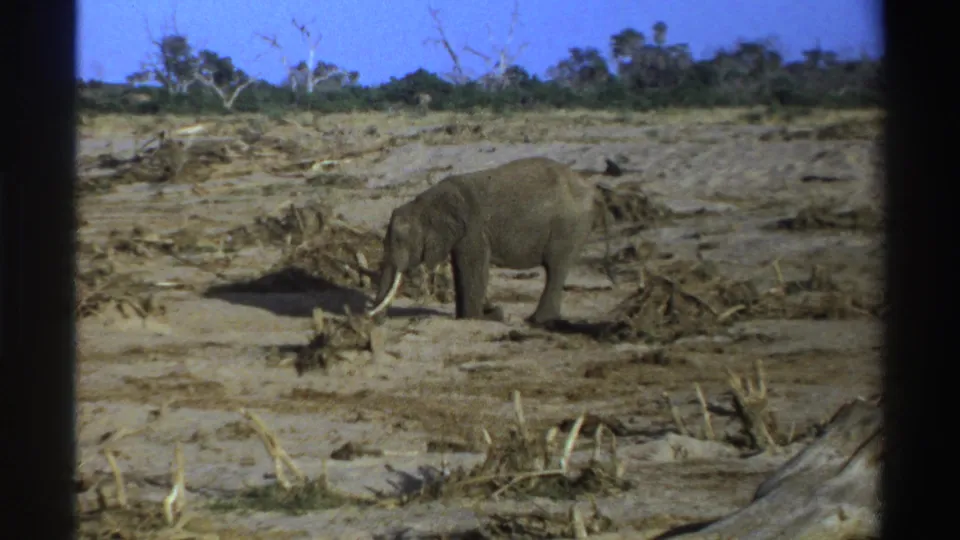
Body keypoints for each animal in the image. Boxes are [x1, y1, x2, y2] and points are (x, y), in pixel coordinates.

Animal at [365, 156, 615, 325]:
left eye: (401, 241)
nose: (376, 320)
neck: (425, 202)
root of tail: (596, 192)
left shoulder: (473, 229)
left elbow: (474, 268)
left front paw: (474, 319)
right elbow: (461, 269)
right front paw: (477, 316)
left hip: (569, 226)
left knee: (556, 267)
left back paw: (536, 321)